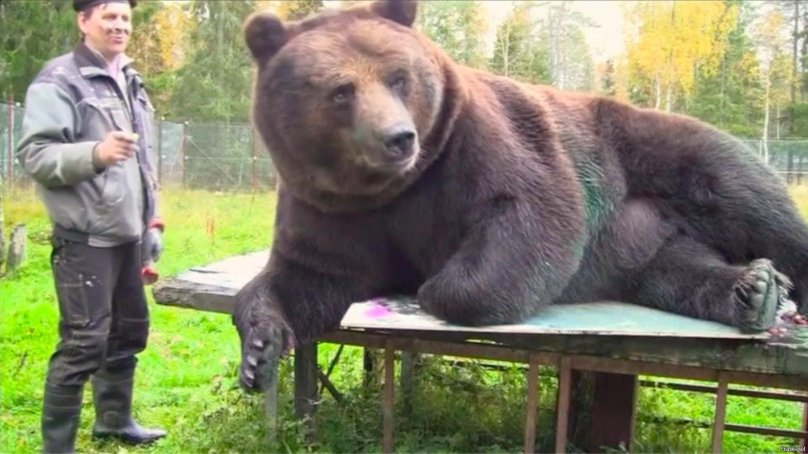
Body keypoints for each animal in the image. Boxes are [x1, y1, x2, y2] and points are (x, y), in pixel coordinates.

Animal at [233, 0, 808, 391]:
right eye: (341, 91)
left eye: (399, 77)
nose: (398, 138)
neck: (393, 188)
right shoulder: (330, 208)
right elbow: (305, 276)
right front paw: (260, 350)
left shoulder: (478, 146)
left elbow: (529, 214)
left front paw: (435, 287)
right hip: (643, 240)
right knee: (678, 269)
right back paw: (753, 290)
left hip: (660, 155)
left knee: (751, 201)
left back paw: (775, 282)